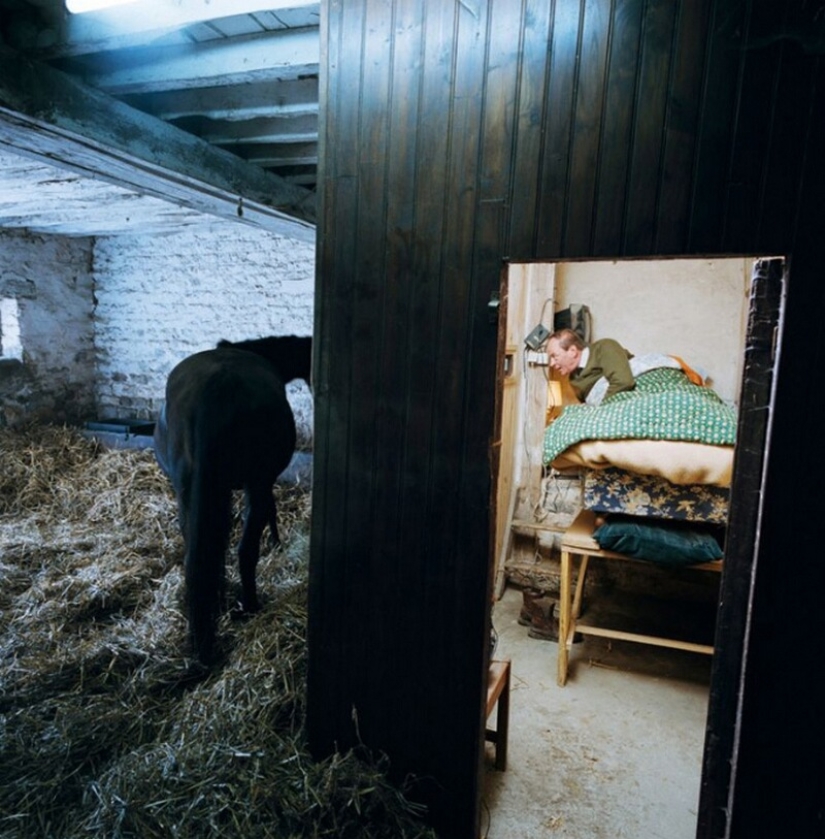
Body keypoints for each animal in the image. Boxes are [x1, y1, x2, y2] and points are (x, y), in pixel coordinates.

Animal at [153, 334, 310, 664]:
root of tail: (214, 392)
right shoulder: (261, 483)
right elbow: (268, 515)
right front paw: (275, 542)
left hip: (189, 495)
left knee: (198, 555)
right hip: (255, 483)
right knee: (245, 549)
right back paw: (250, 605)